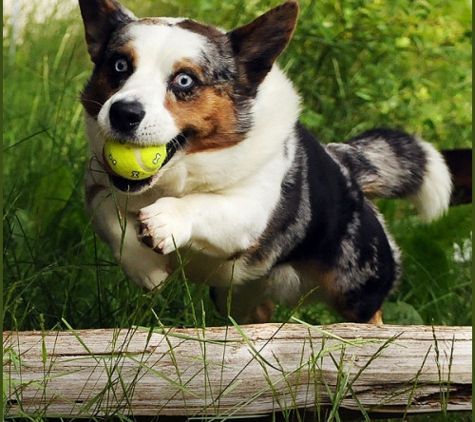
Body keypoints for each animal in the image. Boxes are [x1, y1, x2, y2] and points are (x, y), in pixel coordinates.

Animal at [81, 0, 454, 324]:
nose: (123, 113)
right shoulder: (97, 181)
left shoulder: (251, 213)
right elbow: (108, 212)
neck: (178, 177)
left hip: (357, 287)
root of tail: (348, 169)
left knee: (371, 314)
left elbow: (204, 204)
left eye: (184, 80)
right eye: (119, 66)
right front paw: (148, 270)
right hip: (236, 296)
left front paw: (165, 220)